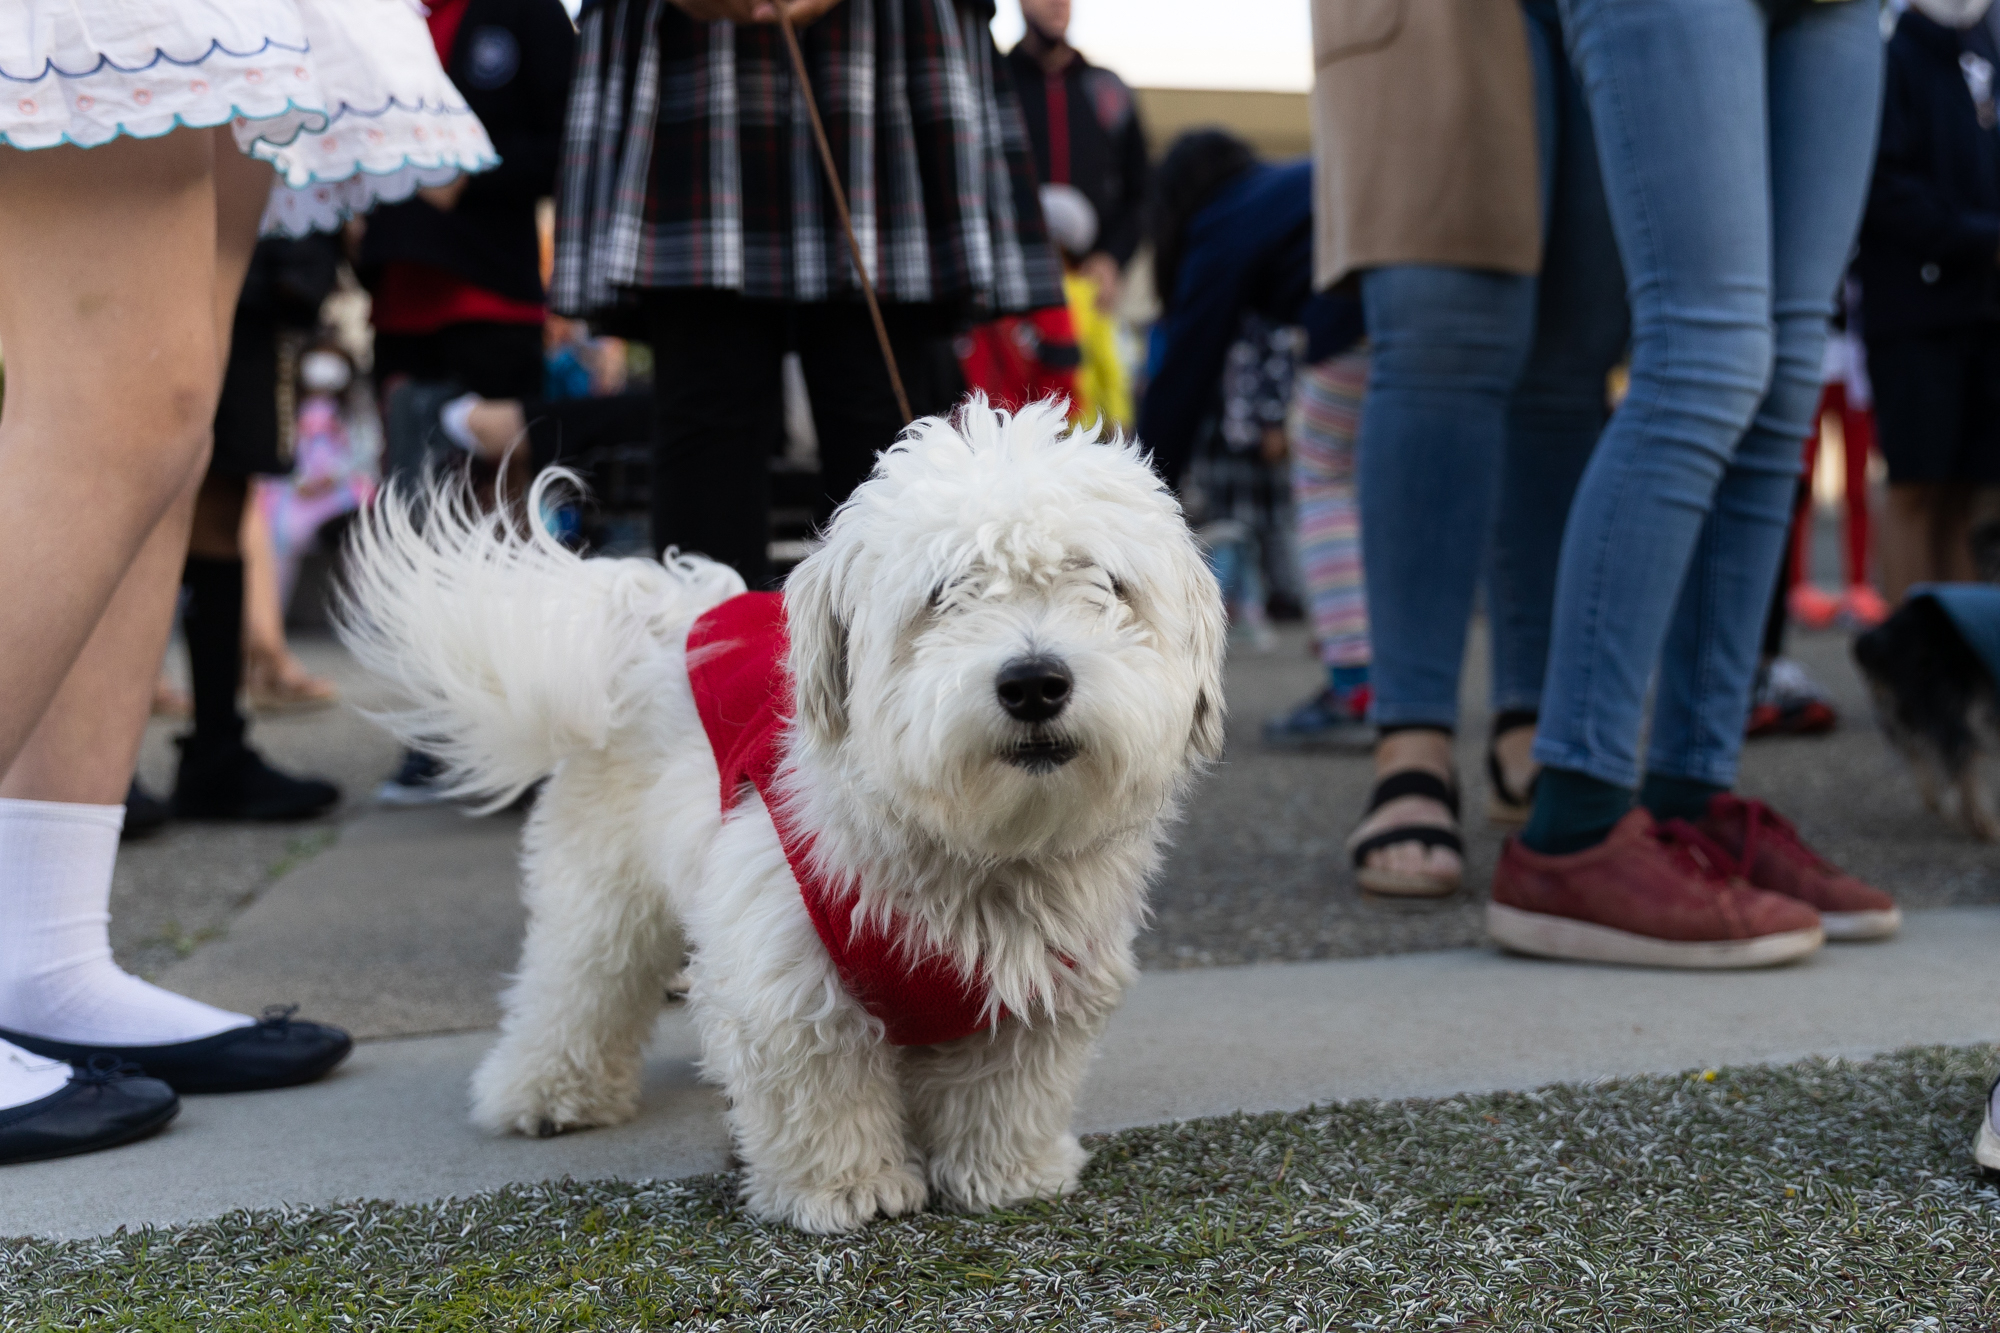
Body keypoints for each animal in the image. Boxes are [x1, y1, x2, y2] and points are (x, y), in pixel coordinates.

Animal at [336, 402, 1224, 1224]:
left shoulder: (1042, 978)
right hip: (606, 884)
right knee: (577, 980)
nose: (1034, 681)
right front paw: (849, 1186)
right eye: (943, 593)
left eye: (1105, 582)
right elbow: (817, 1085)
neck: (972, 851)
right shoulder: (783, 960)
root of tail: (664, 617)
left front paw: (1010, 1170)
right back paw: (546, 1091)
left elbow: (1009, 1086)